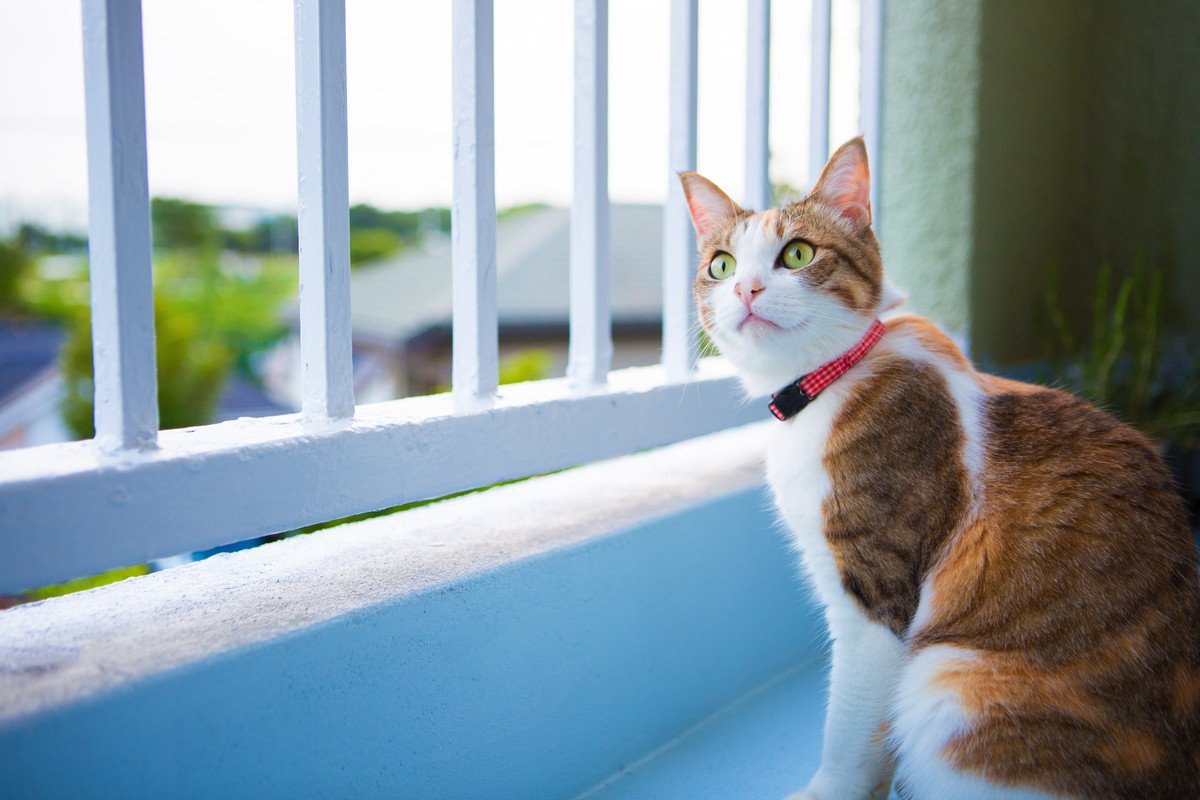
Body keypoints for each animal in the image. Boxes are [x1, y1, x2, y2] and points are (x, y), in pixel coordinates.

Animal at [681, 137, 1200, 800]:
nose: (745, 289)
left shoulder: (876, 599)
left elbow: (850, 729)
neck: (831, 381)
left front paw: (829, 787)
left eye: (797, 253)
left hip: (949, 684)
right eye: (721, 266)